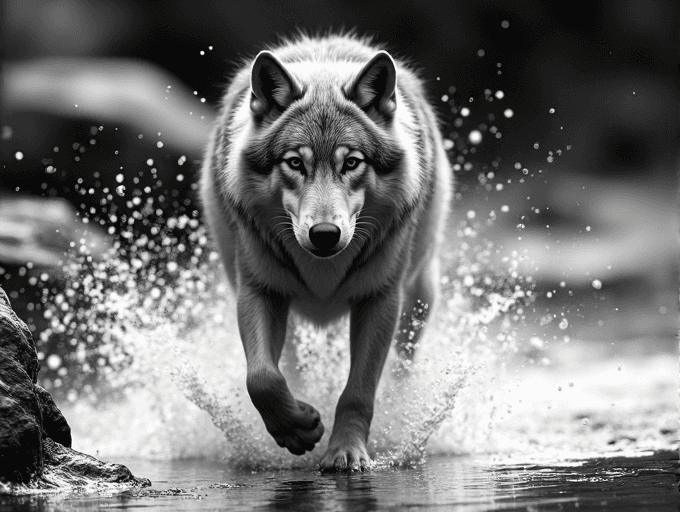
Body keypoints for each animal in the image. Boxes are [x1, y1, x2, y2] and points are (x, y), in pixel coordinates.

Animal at [200, 33, 452, 471]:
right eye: (294, 162)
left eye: (351, 162)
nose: (324, 235)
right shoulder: (258, 291)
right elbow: (262, 378)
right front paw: (297, 428)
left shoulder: (380, 300)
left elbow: (358, 392)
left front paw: (346, 453)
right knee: (289, 366)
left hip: (418, 300)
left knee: (401, 369)